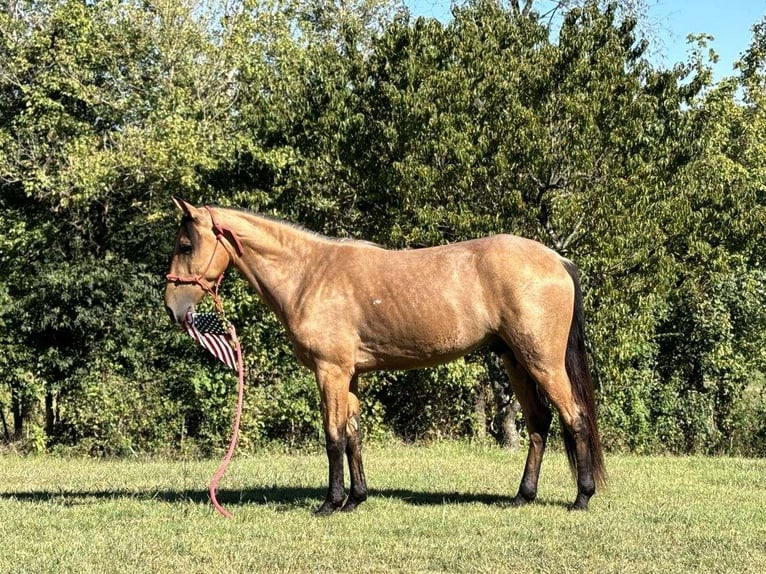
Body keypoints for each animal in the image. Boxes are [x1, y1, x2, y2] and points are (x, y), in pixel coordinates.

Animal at [166, 200, 608, 516]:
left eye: (186, 245)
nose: (173, 307)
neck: (309, 274)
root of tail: (557, 260)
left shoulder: (330, 372)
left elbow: (332, 437)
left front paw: (330, 503)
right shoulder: (351, 374)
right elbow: (353, 434)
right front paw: (355, 499)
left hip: (542, 361)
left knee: (574, 418)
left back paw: (582, 498)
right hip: (515, 361)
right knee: (539, 423)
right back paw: (522, 496)